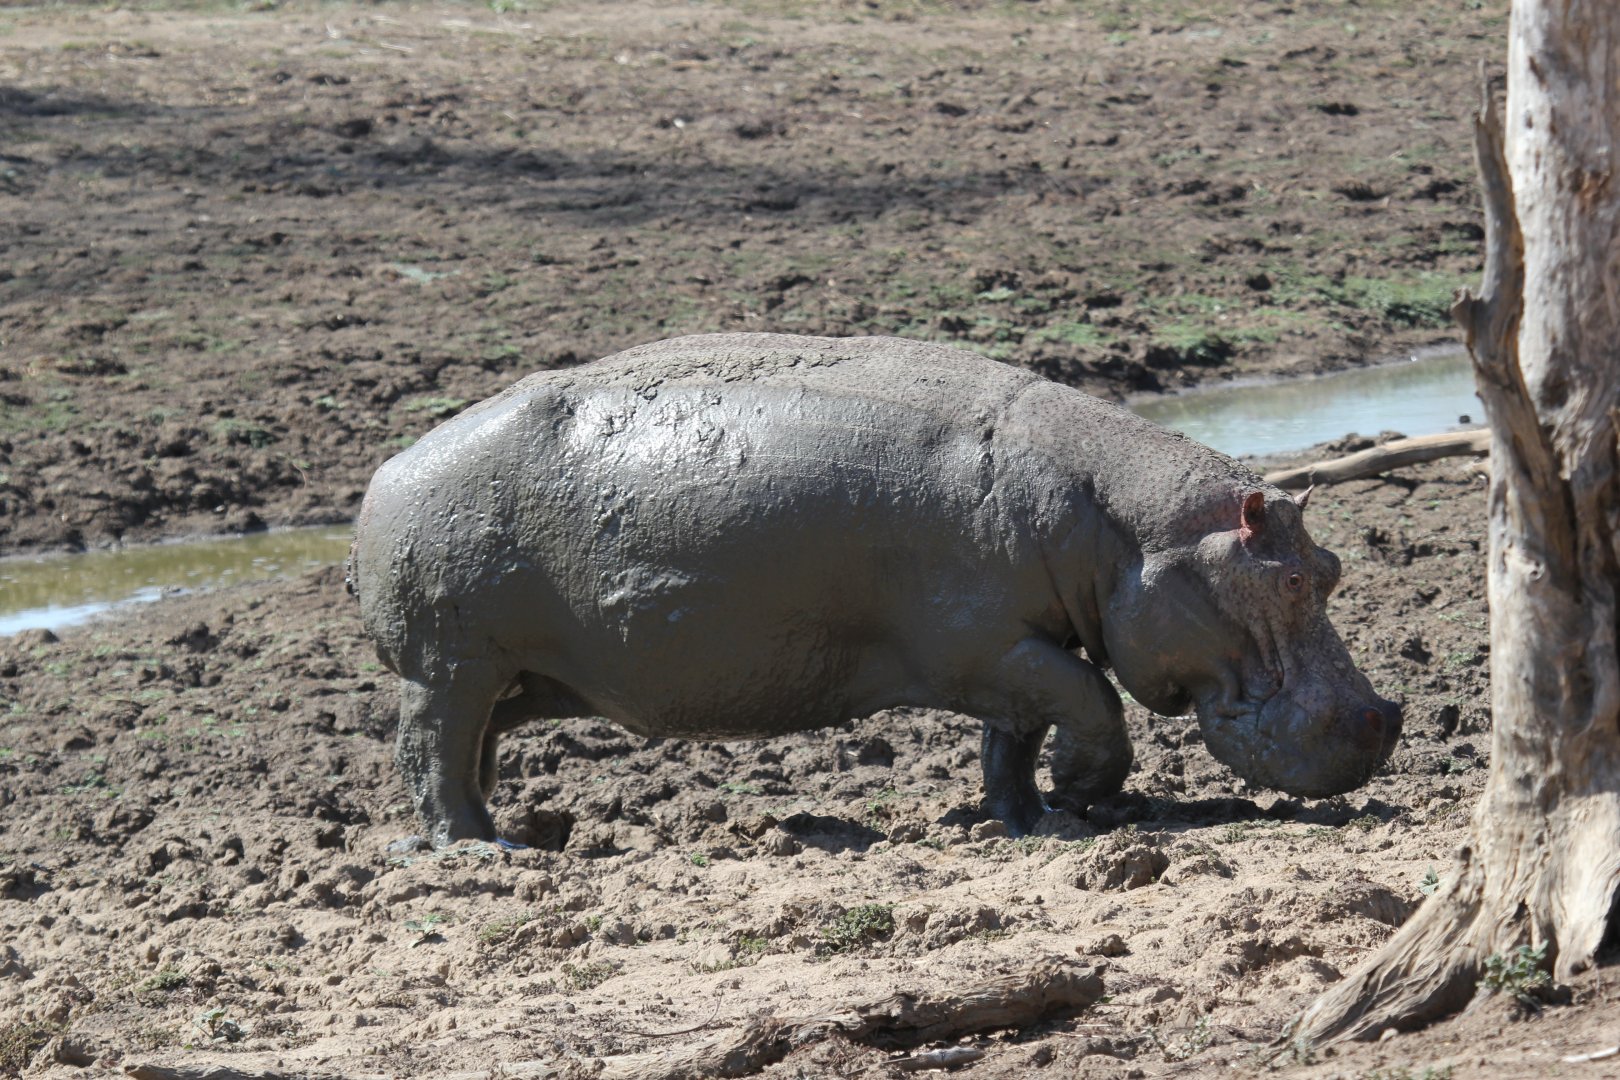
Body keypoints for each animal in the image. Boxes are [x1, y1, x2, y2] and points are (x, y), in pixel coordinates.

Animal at [349, 333, 1400, 847]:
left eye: (1333, 570)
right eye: (1287, 579)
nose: (1384, 722)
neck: (1126, 528)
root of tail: (386, 471)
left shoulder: (1014, 648)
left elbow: (1015, 737)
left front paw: (1030, 820)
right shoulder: (985, 648)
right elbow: (1091, 702)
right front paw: (1082, 796)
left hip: (512, 676)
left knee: (467, 748)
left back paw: (499, 827)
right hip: (449, 665)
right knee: (428, 749)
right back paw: (483, 851)